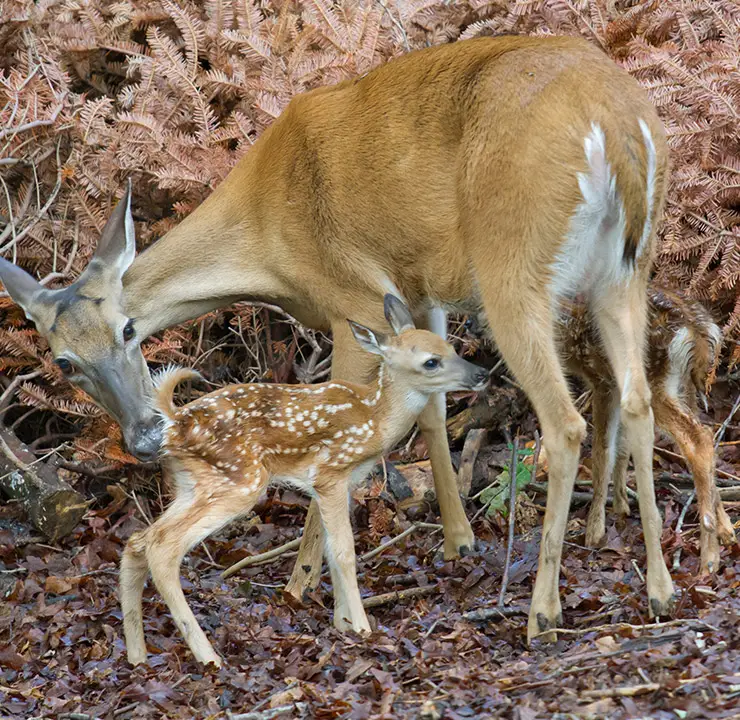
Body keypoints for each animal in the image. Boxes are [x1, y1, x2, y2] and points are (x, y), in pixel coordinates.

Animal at [121, 296, 488, 668]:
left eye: (449, 346)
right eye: (431, 362)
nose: (481, 373)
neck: (376, 419)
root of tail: (174, 423)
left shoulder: (346, 480)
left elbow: (328, 550)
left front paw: (343, 625)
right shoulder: (331, 472)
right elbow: (343, 551)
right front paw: (363, 629)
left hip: (195, 483)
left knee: (138, 540)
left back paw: (137, 656)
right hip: (240, 479)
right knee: (163, 547)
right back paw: (209, 656)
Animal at [560, 284, 736, 572]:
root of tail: (697, 329)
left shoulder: (601, 380)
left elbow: (602, 453)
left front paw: (594, 532)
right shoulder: (616, 384)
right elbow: (622, 447)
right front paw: (621, 506)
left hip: (653, 381)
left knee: (699, 440)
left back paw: (709, 559)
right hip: (685, 384)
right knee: (706, 436)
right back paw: (727, 532)